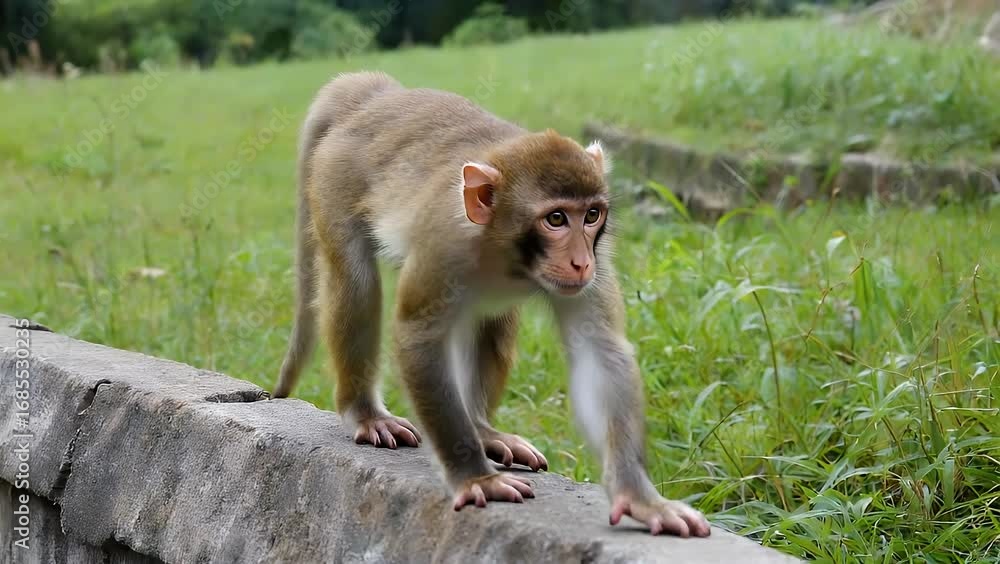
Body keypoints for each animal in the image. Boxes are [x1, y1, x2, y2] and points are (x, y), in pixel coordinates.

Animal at [273, 71, 711, 538]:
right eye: (556, 219)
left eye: (591, 215)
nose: (581, 261)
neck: (505, 254)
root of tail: (374, 96)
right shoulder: (444, 245)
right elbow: (417, 337)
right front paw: (474, 477)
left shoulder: (598, 263)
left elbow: (601, 351)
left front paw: (640, 498)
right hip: (334, 179)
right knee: (356, 284)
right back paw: (366, 413)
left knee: (494, 317)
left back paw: (484, 431)